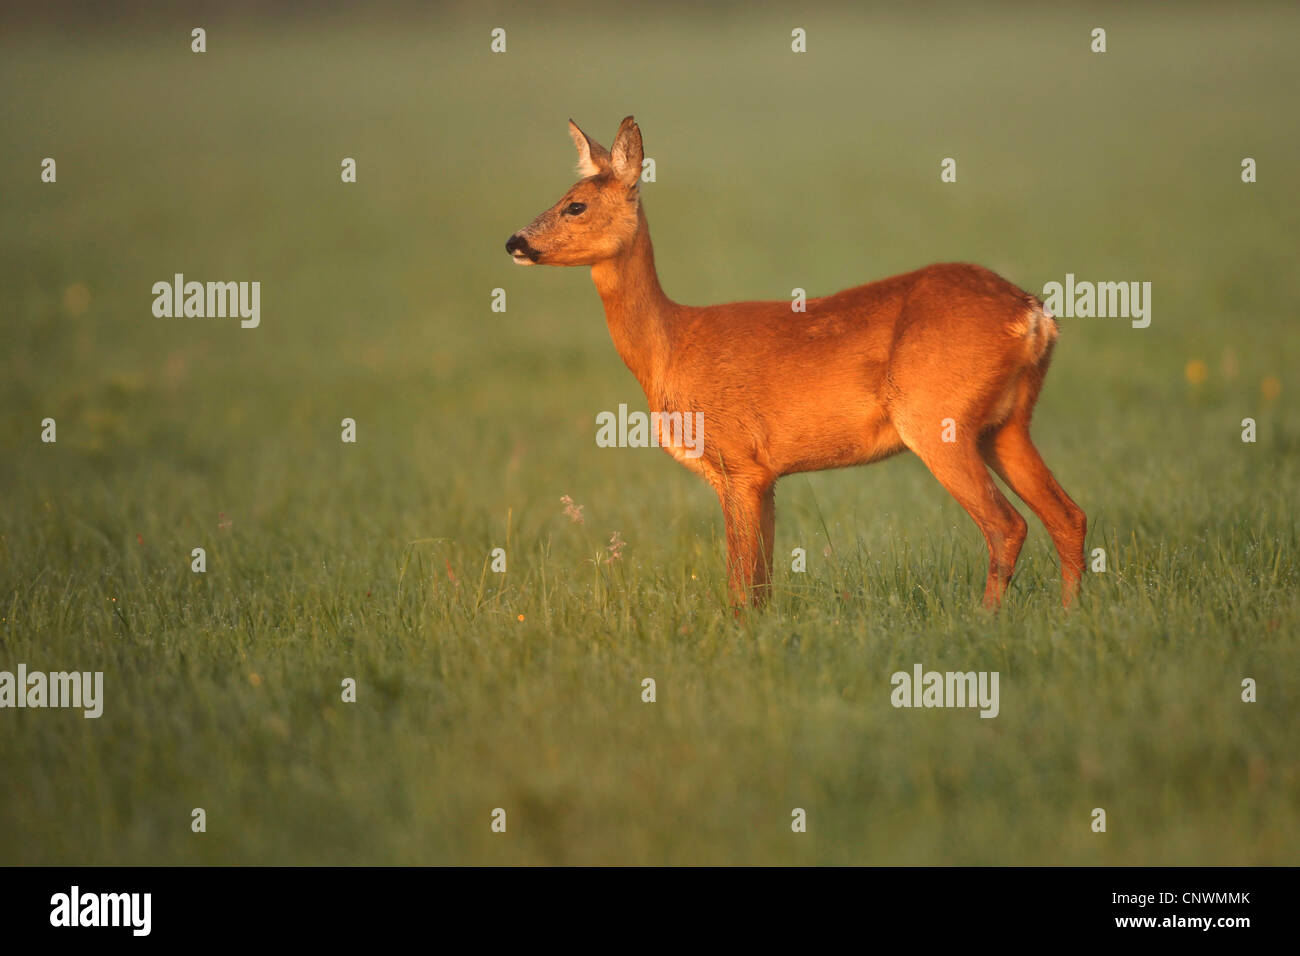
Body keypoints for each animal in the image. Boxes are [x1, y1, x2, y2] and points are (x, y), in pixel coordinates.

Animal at [506, 115, 1086, 608]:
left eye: (575, 205)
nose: (514, 241)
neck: (670, 346)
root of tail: (1033, 313)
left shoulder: (738, 463)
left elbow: (741, 585)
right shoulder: (765, 476)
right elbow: (760, 584)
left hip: (936, 418)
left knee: (1006, 525)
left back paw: (988, 620)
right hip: (1005, 424)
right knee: (1069, 516)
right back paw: (1068, 616)